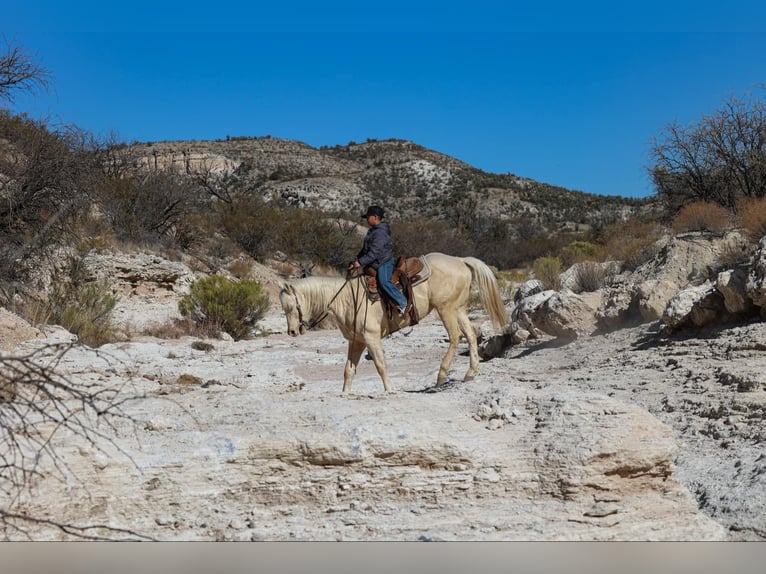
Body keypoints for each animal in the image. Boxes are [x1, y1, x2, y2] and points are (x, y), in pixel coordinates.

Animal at [279, 252, 508, 393]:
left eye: (290, 307)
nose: (292, 332)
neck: (346, 298)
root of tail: (460, 260)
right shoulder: (356, 341)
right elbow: (348, 370)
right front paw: (345, 393)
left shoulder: (371, 338)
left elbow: (380, 364)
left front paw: (390, 389)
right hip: (458, 309)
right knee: (470, 334)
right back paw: (471, 373)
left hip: (446, 309)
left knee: (455, 337)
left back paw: (442, 375)